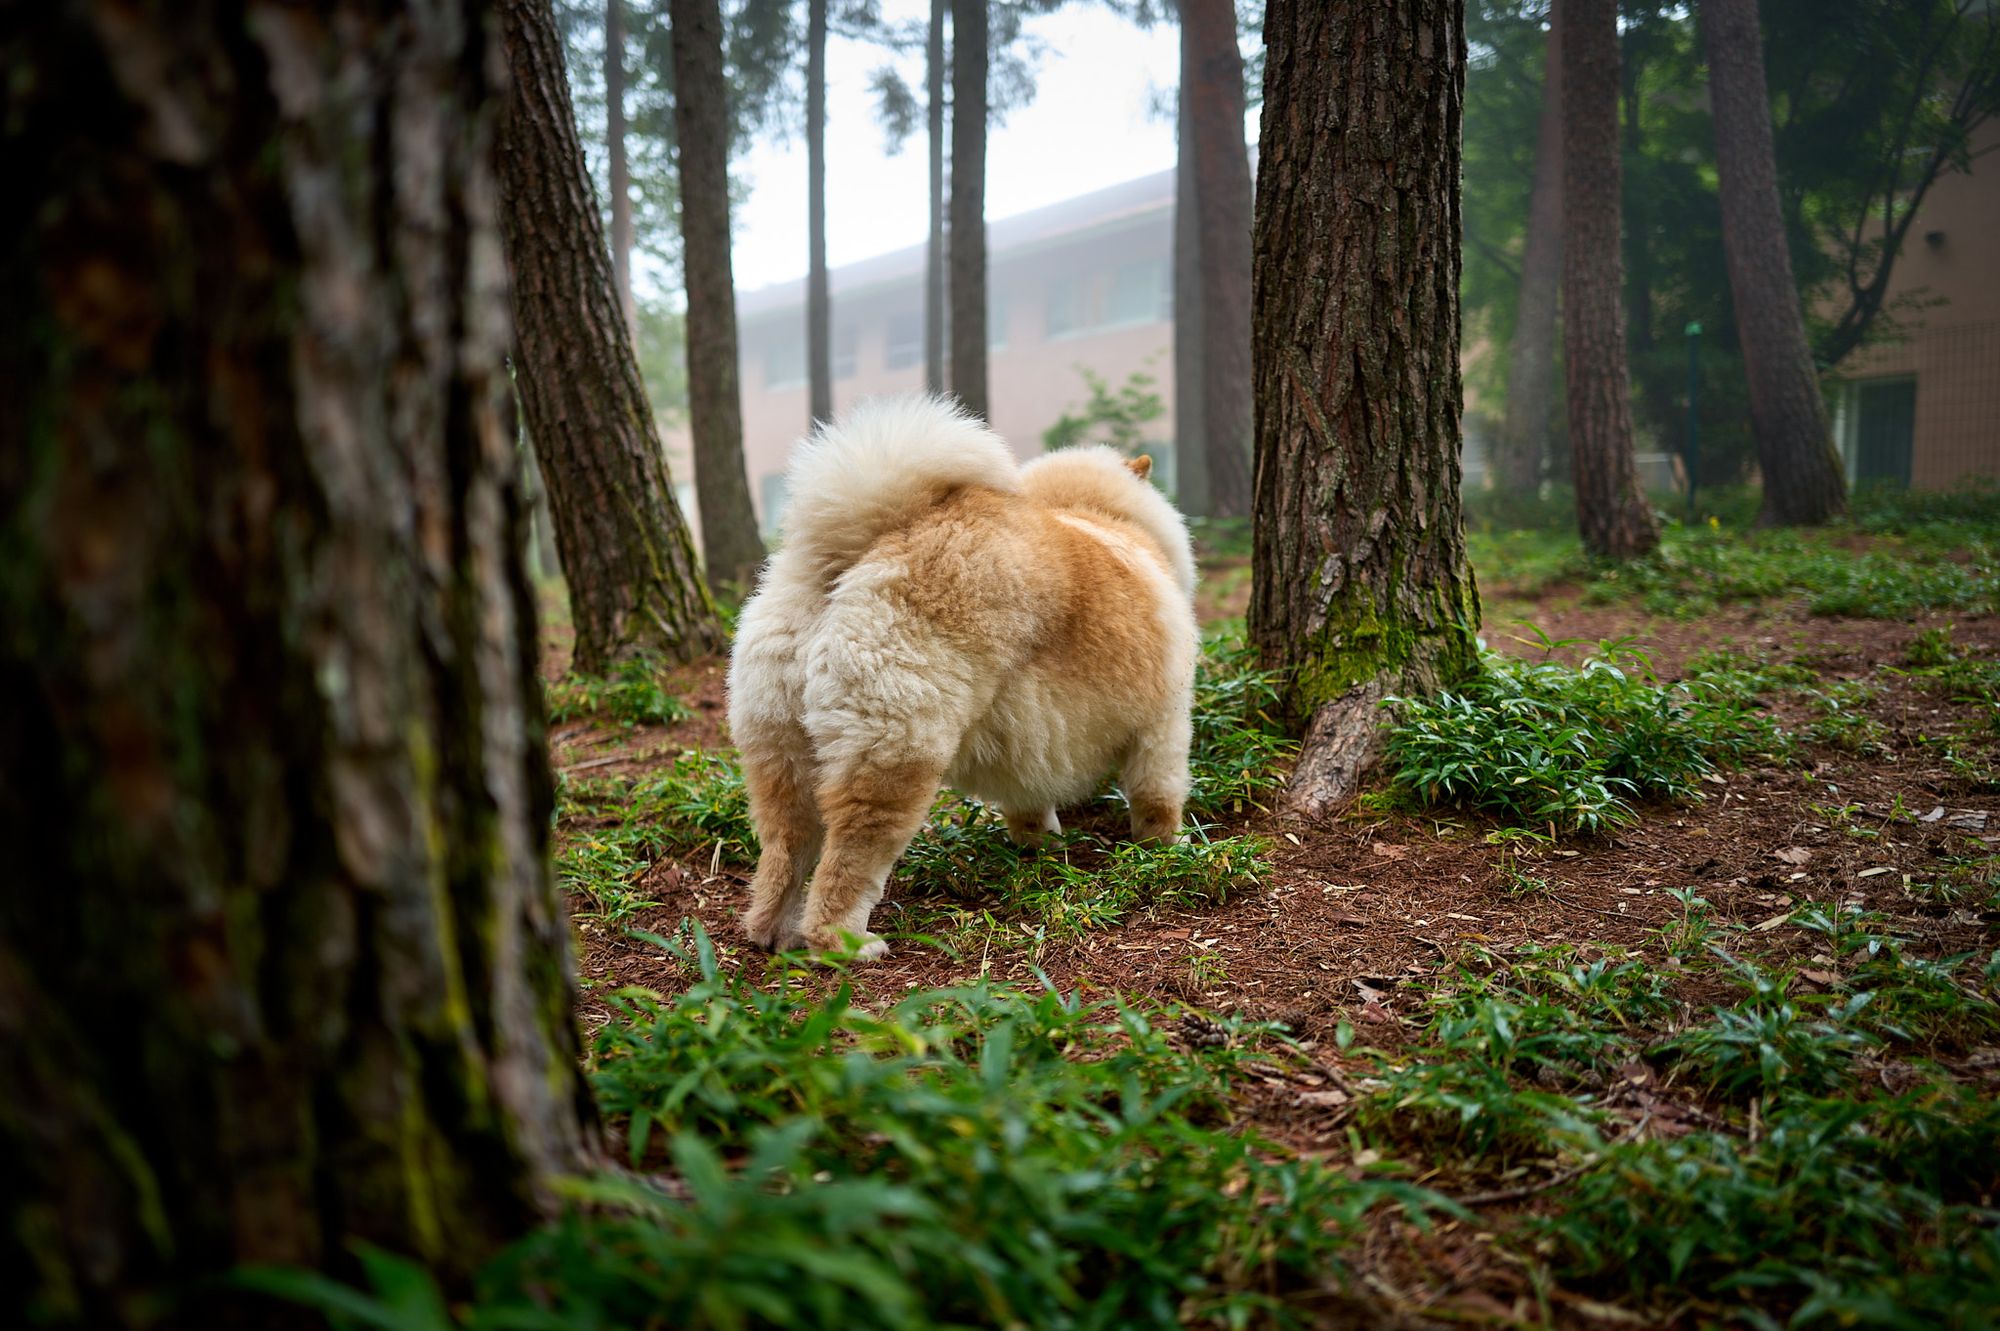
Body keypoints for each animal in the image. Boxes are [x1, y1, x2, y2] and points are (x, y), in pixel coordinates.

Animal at [736, 391, 1200, 955]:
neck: (1094, 514)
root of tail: (854, 555)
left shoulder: (1035, 748)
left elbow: (1030, 808)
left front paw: (1042, 849)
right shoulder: (1164, 723)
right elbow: (1158, 799)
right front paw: (1168, 849)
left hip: (781, 752)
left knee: (785, 848)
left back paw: (773, 932)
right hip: (897, 753)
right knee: (848, 858)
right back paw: (847, 944)